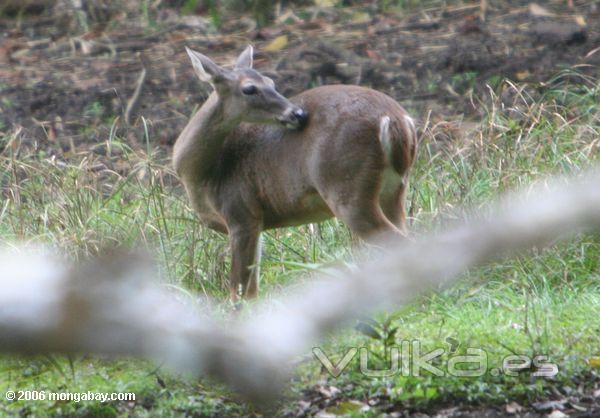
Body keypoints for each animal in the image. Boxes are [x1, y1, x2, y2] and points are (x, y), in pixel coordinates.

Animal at [173, 45, 418, 300]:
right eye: (250, 88)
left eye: (271, 82)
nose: (298, 114)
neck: (205, 174)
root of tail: (397, 121)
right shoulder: (256, 220)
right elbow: (253, 290)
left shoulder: (241, 213)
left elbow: (239, 292)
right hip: (394, 189)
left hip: (347, 188)